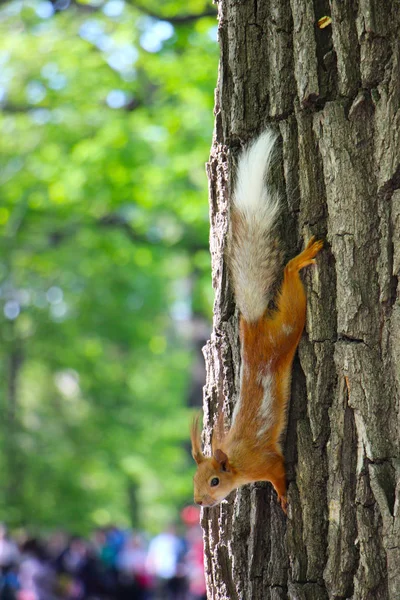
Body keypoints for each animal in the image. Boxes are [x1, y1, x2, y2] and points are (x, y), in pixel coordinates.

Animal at [189, 130, 324, 510]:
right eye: (195, 479)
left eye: (215, 480)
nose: (201, 502)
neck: (236, 460)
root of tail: (252, 325)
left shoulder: (267, 461)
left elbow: (278, 472)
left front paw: (283, 495)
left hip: (290, 325)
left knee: (290, 278)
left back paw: (301, 259)